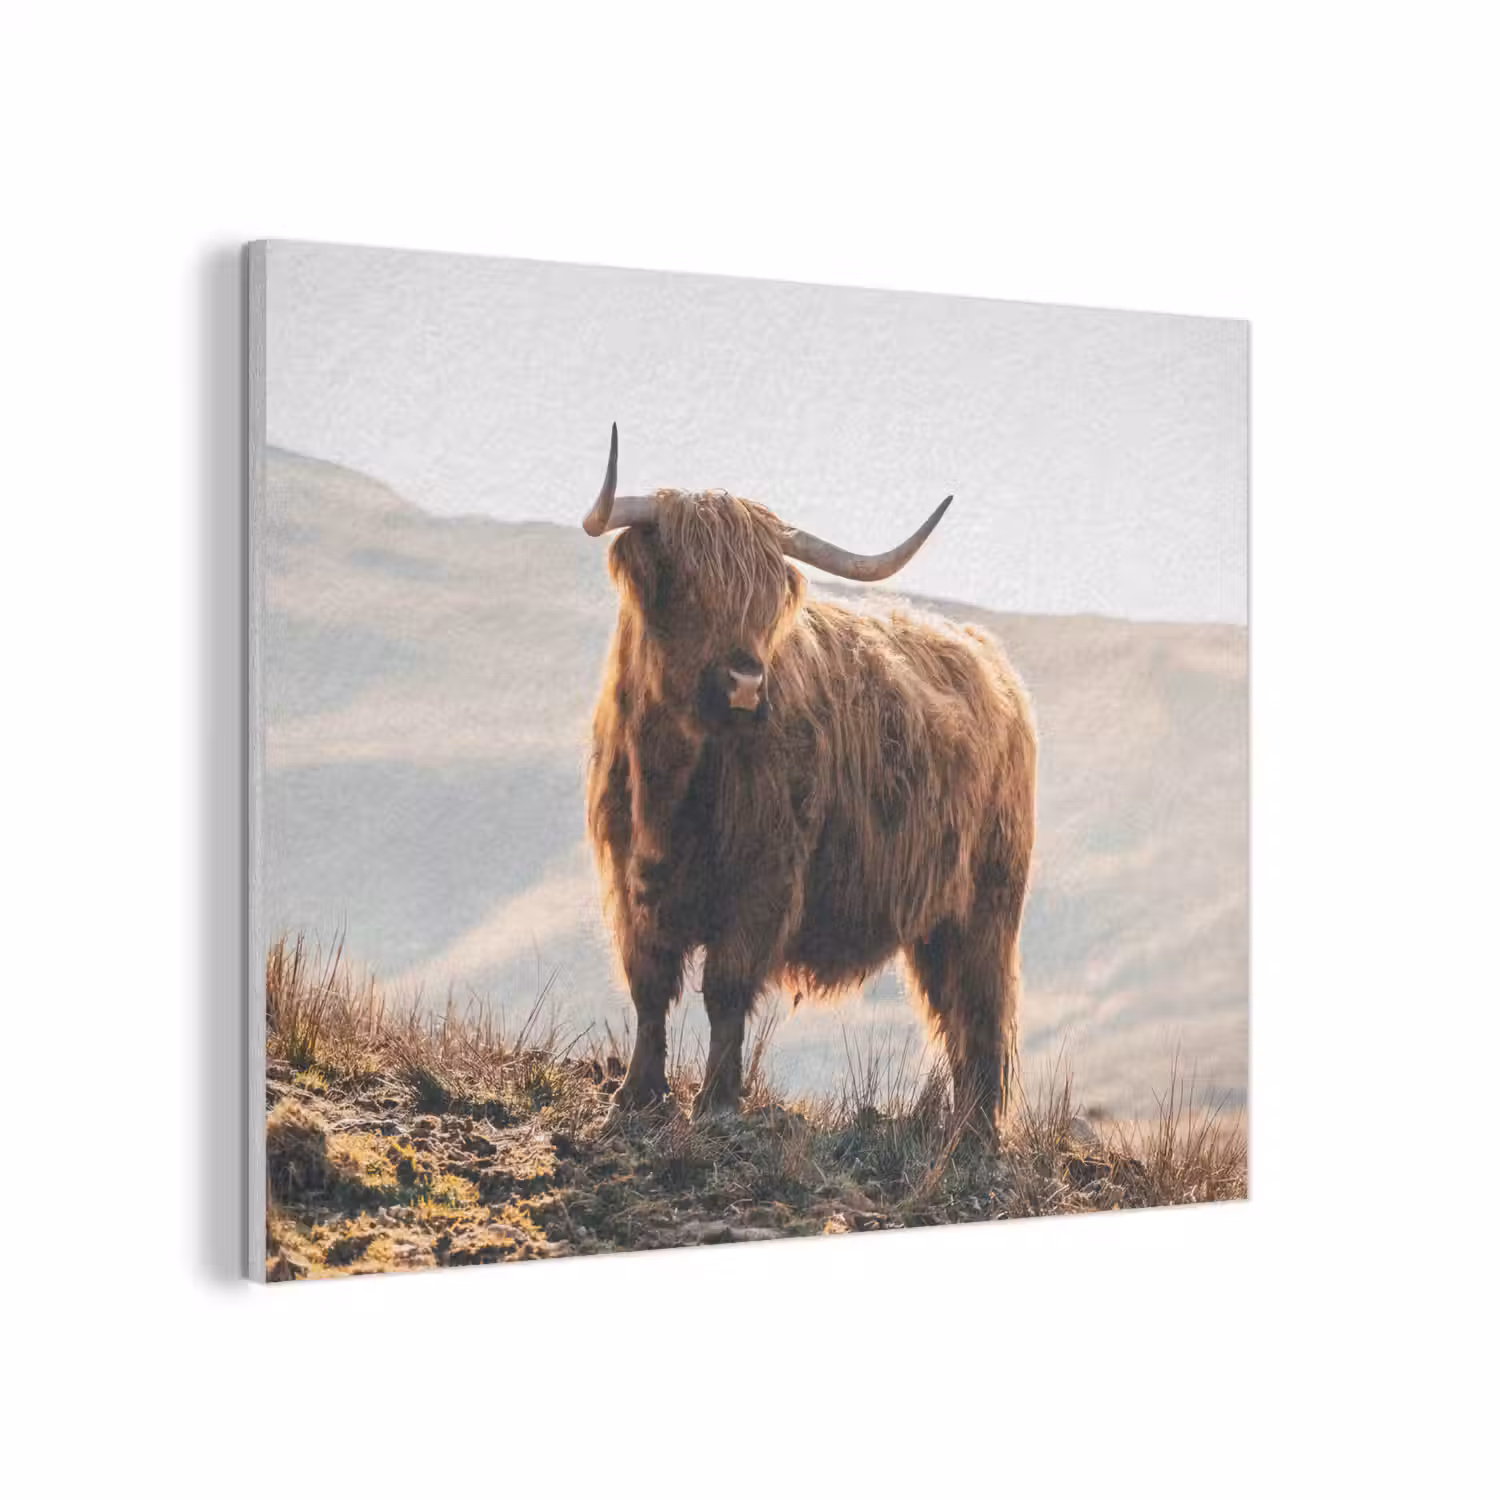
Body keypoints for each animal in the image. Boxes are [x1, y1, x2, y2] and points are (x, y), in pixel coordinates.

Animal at [582, 426, 1037, 1140]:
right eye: (686, 584)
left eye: (767, 596)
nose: (745, 682)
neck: (673, 780)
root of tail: (987, 654)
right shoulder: (630, 882)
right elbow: (649, 985)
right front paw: (637, 1096)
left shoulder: (763, 879)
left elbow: (726, 988)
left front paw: (716, 1104)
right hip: (939, 919)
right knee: (956, 1014)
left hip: (987, 903)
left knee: (982, 1009)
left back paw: (975, 1134)